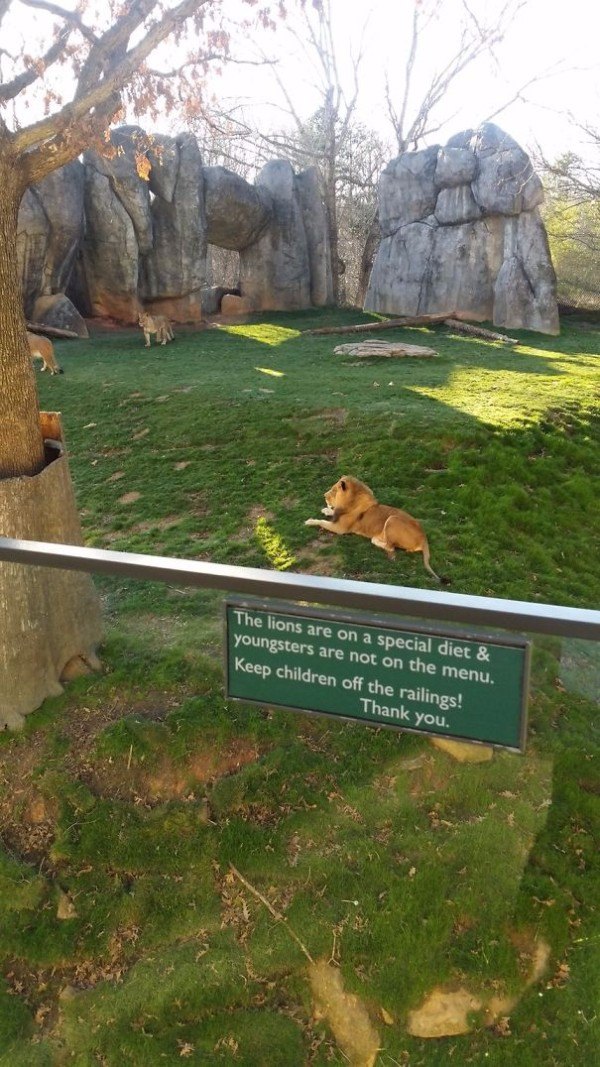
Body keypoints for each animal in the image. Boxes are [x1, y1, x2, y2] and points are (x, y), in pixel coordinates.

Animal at [305, 475, 447, 583]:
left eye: (334, 491)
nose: (324, 495)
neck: (351, 501)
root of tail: (424, 537)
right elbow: (330, 513)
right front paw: (325, 509)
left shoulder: (340, 528)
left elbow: (322, 522)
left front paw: (309, 521)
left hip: (392, 519)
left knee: (391, 549)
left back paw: (377, 540)